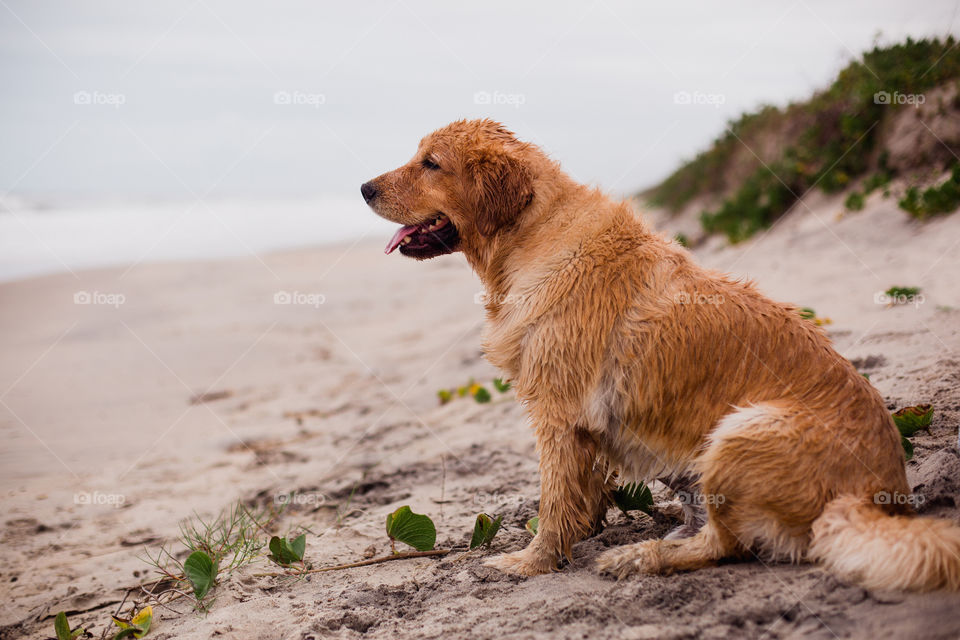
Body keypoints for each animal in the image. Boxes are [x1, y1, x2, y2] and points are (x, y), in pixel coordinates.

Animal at [362, 120, 960, 592]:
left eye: (431, 163)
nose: (363, 187)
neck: (531, 236)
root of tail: (880, 495)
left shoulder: (557, 411)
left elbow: (552, 501)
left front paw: (532, 563)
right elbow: (582, 493)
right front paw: (582, 532)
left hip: (742, 431)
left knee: (727, 546)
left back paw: (641, 556)